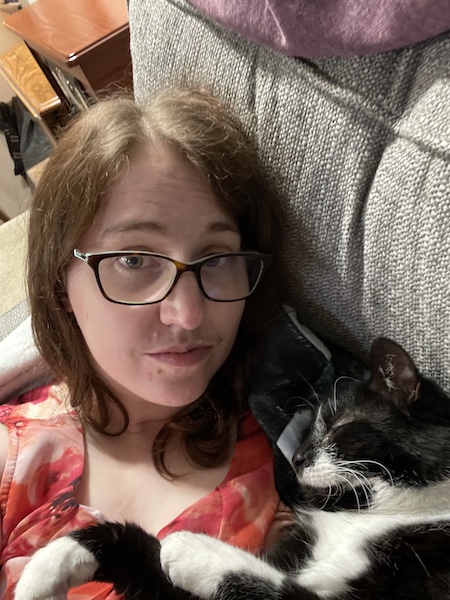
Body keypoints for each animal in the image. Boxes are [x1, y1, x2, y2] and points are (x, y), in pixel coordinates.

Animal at [14, 340, 450, 596]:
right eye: (310, 428)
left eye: (339, 427)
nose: (296, 458)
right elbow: (135, 545)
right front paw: (44, 572)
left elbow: (277, 588)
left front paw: (189, 548)